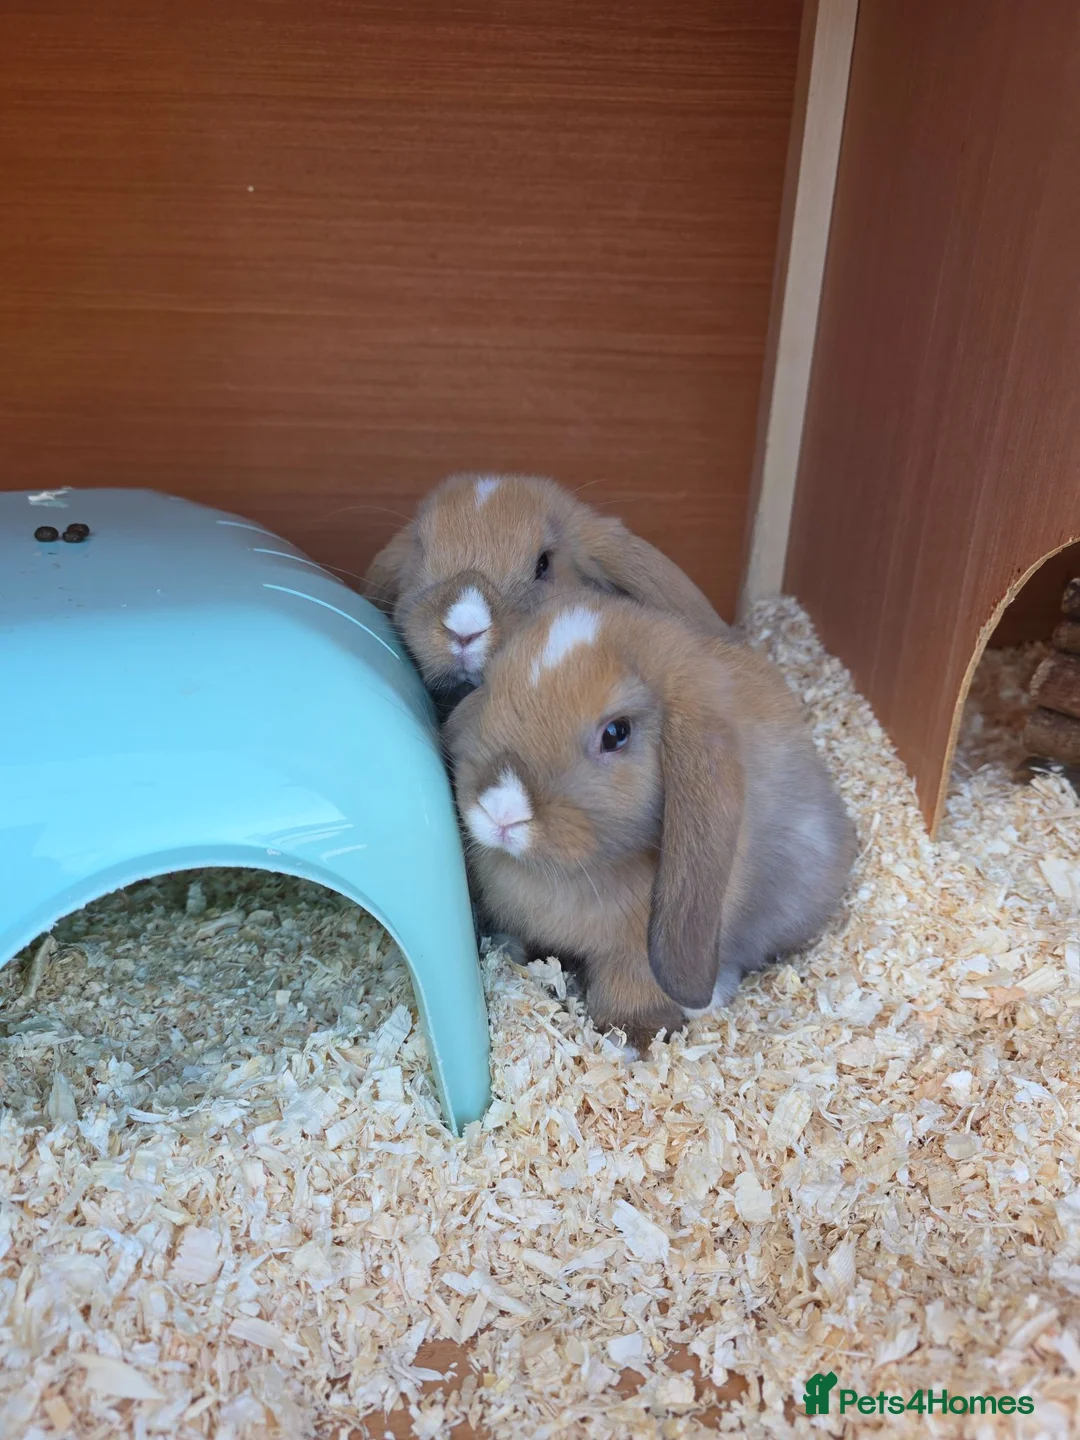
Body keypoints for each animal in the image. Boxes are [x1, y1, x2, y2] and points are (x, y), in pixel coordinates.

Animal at [443, 593, 856, 1052]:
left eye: (615, 733)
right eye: (489, 688)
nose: (501, 810)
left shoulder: (638, 953)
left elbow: (632, 990)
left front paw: (630, 1039)